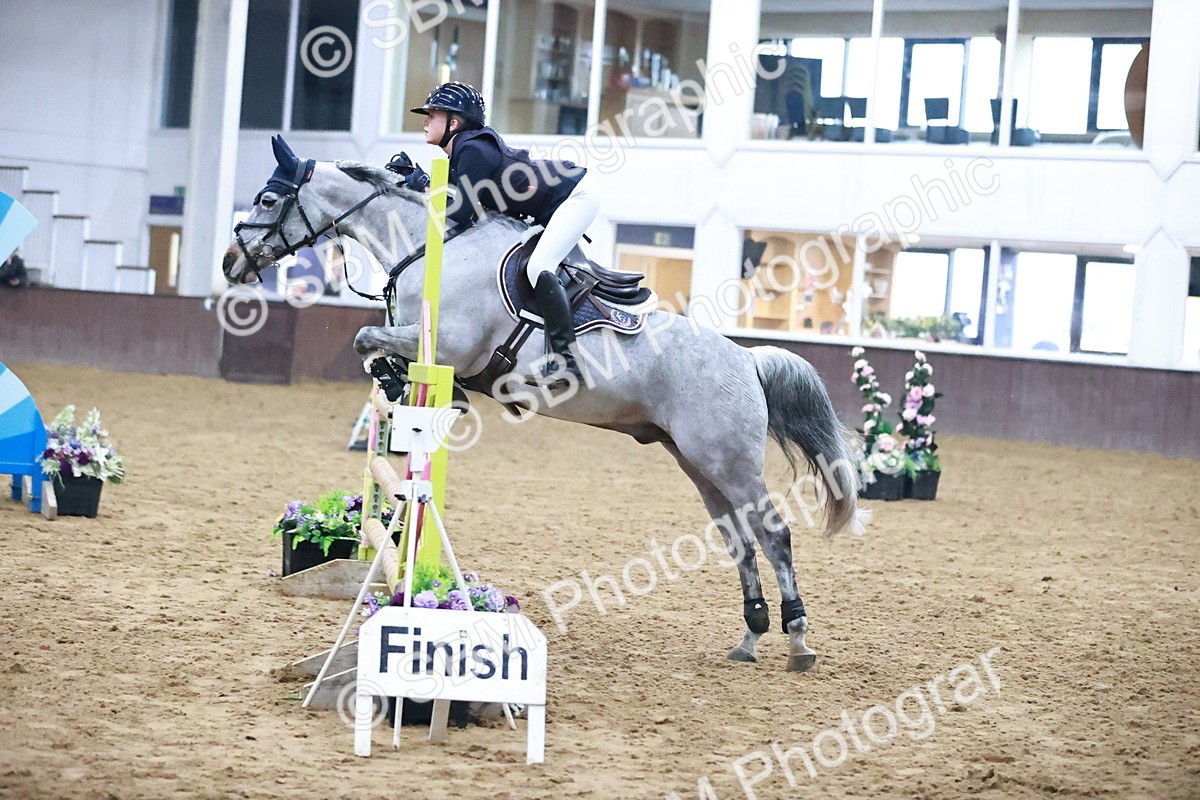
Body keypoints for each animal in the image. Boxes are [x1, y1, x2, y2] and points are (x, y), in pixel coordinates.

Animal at [223, 136, 866, 672]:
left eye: (266, 197)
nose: (232, 263)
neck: (428, 247)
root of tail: (747, 361)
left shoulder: (449, 344)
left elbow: (366, 338)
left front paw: (405, 383)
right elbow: (370, 346)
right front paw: (394, 384)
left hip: (729, 461)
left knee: (774, 535)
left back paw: (797, 640)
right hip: (698, 462)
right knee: (740, 538)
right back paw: (751, 636)